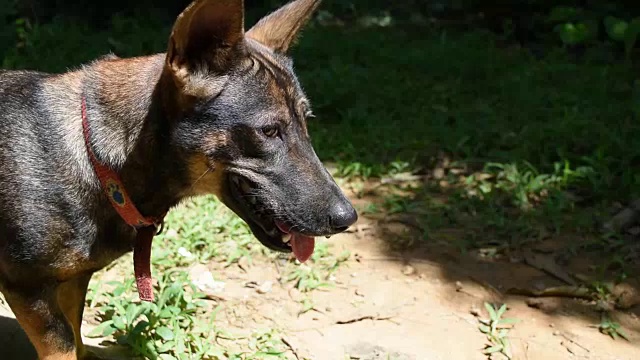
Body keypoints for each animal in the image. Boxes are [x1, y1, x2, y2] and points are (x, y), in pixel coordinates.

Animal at [0, 1, 358, 358]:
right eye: (269, 131)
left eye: (307, 121)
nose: (348, 218)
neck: (96, 159)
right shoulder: (28, 289)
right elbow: (65, 345)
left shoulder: (73, 282)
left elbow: (77, 337)